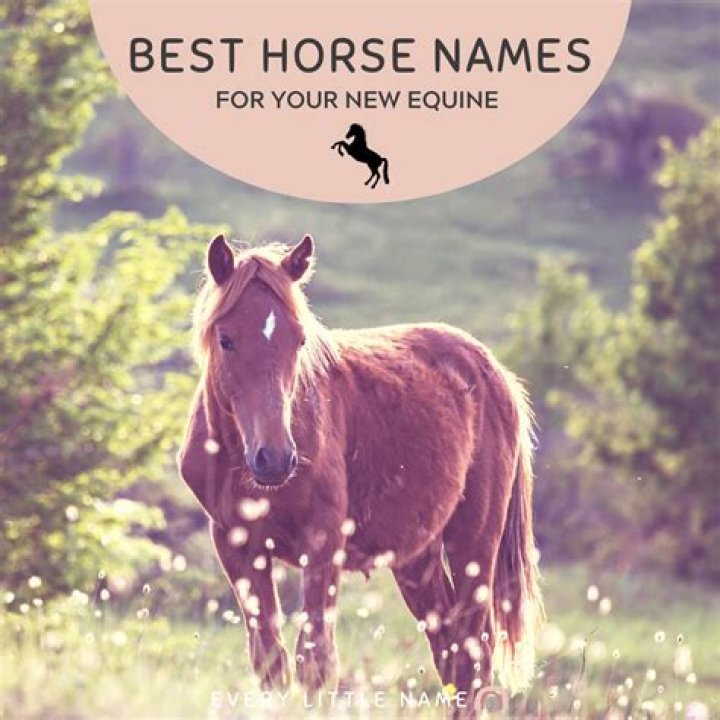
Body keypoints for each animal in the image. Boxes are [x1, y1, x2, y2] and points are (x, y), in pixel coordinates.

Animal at [178, 234, 543, 713]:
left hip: (475, 540)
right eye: (226, 339)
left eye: (299, 340)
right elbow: (270, 661)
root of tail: (494, 373)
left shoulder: (323, 544)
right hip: (418, 559)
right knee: (450, 651)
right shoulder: (237, 545)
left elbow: (315, 660)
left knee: (472, 653)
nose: (274, 458)